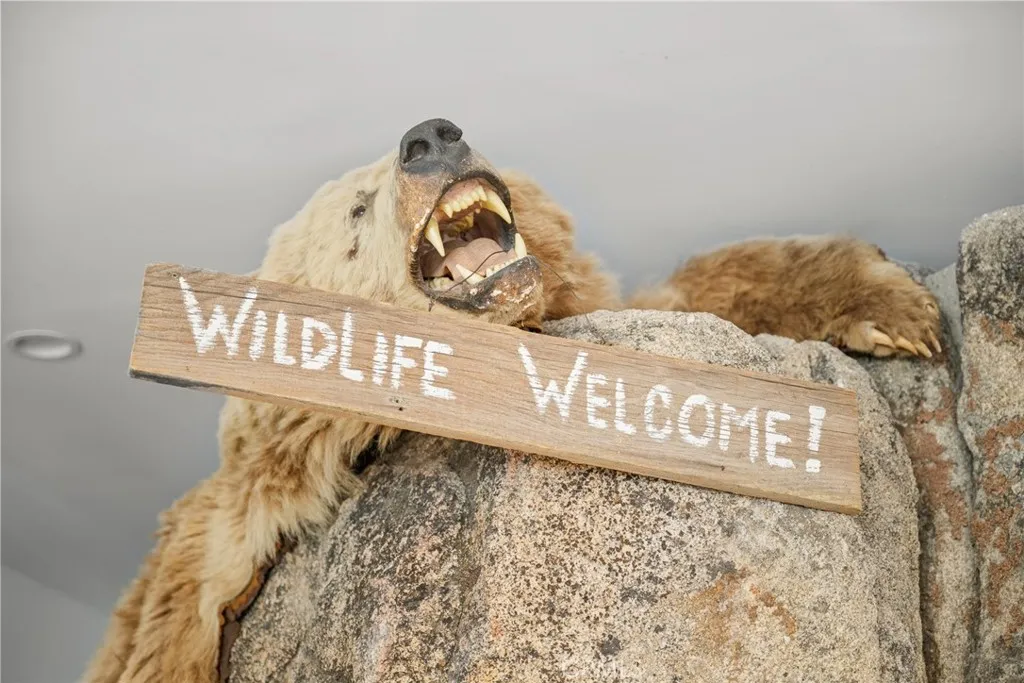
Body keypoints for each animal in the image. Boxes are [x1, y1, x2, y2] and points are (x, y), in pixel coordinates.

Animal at [83, 118, 941, 683]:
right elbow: (189, 590)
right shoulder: (246, 491)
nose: (431, 138)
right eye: (356, 210)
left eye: (421, 145)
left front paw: (897, 309)